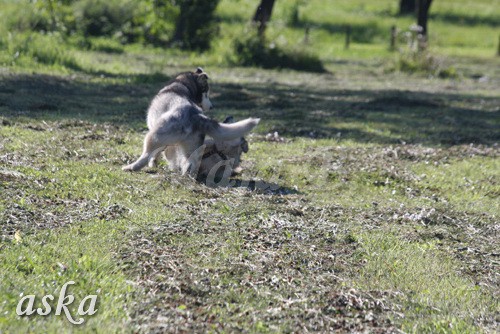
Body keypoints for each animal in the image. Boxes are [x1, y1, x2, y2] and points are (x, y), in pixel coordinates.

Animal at [123, 68, 260, 177]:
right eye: (206, 93)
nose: (212, 107)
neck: (184, 85)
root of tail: (196, 116)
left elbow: (156, 153)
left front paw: (153, 163)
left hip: (153, 137)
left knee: (145, 155)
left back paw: (131, 167)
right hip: (191, 149)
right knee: (191, 165)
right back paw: (187, 178)